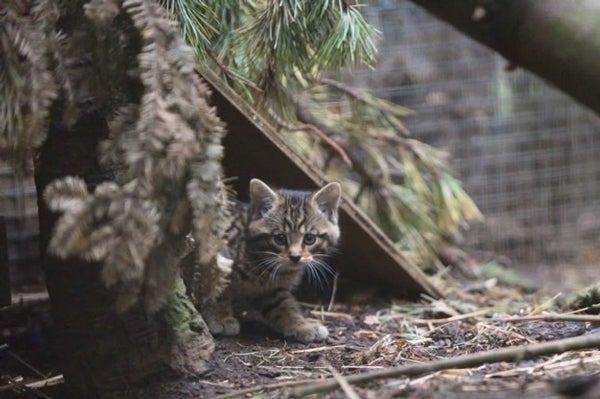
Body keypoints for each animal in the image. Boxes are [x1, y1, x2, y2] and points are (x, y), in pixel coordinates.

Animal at [202, 179, 340, 344]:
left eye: (309, 238)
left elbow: (283, 305)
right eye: (280, 238)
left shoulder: (273, 289)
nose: (295, 257)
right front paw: (220, 317)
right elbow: (217, 288)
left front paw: (300, 325)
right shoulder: (217, 255)